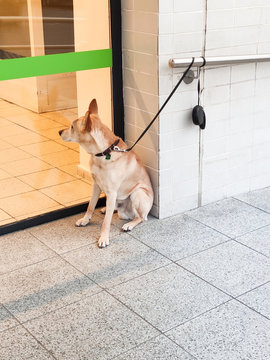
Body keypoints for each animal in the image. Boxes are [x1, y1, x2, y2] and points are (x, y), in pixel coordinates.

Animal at [58, 100, 153, 249]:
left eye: (72, 127)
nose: (59, 132)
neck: (103, 153)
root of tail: (126, 214)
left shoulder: (112, 192)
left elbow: (106, 222)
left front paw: (103, 238)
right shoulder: (96, 185)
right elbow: (90, 206)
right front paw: (85, 220)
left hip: (137, 193)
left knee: (141, 218)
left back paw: (129, 224)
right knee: (114, 209)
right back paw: (106, 209)